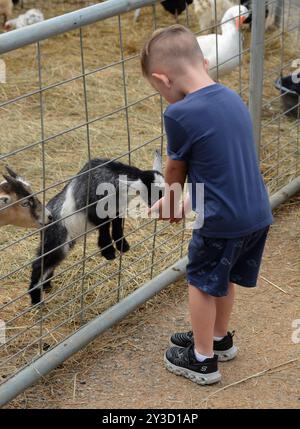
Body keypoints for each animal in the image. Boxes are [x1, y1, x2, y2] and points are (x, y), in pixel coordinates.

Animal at [29, 150, 164, 304]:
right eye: (152, 195)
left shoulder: (117, 210)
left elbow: (117, 226)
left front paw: (122, 246)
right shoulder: (94, 210)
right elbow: (104, 228)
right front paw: (108, 252)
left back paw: (46, 287)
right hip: (56, 239)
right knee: (39, 264)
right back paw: (36, 298)